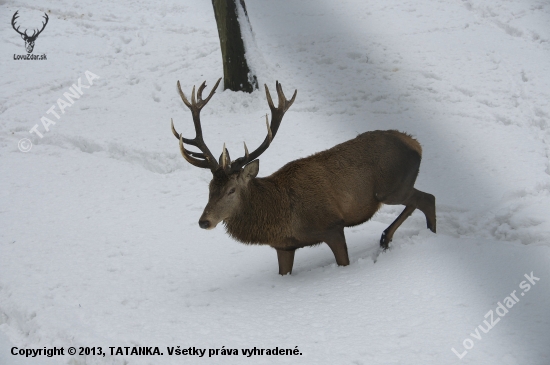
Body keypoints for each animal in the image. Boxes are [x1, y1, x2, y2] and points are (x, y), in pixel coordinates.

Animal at [170, 78, 438, 274]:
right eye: (209, 188)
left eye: (231, 190)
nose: (204, 221)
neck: (282, 216)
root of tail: (416, 144)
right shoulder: (284, 246)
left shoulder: (332, 225)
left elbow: (343, 262)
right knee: (419, 200)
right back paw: (386, 238)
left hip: (390, 187)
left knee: (428, 198)